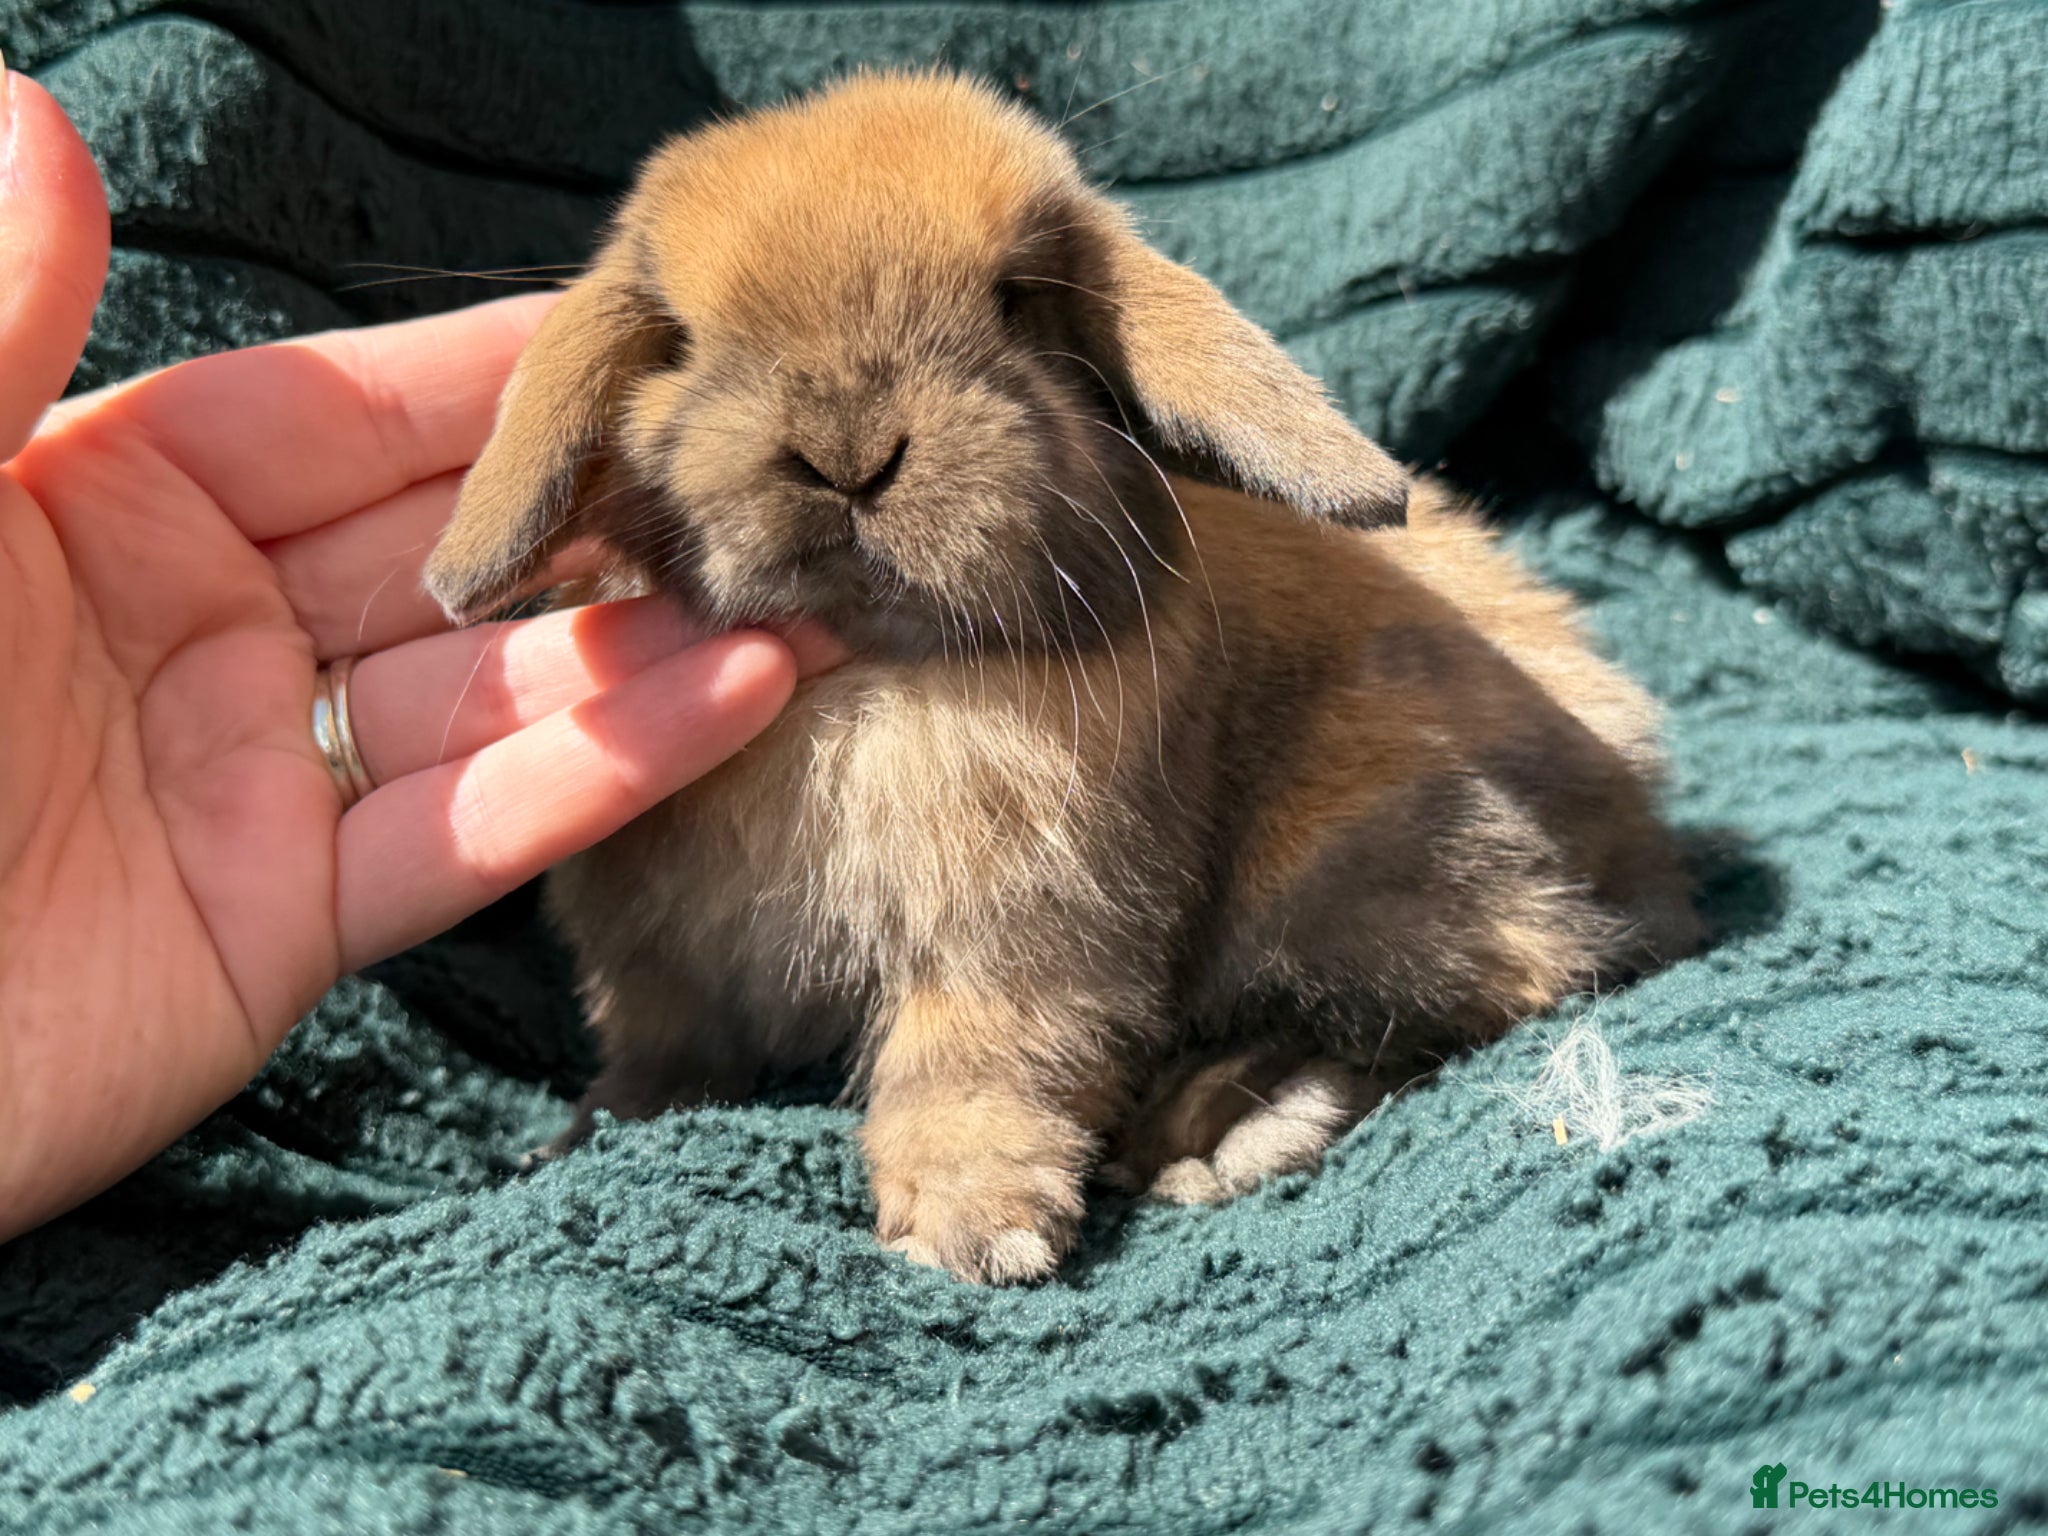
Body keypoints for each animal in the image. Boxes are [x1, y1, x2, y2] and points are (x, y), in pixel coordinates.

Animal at [422, 69, 1702, 1284]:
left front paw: (972, 1232)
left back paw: (1214, 1129)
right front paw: (579, 1136)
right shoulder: (661, 967)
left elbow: (979, 1065)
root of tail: (1646, 851)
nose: (848, 452)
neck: (868, 675)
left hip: (1351, 865)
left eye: (1015, 300)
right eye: (680, 339)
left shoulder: (1024, 929)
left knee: (1474, 993)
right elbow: (661, 1054)